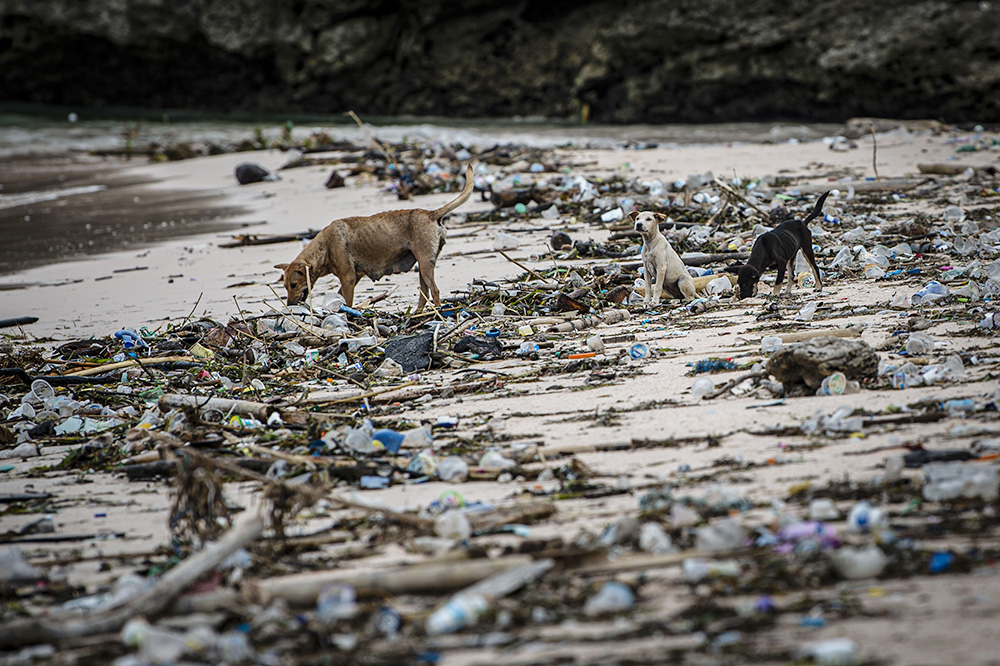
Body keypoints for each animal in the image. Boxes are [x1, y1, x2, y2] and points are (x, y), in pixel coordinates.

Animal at [276, 166, 474, 312]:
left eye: (294, 284)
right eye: (285, 286)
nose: (290, 306)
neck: (324, 247)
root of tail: (431, 214)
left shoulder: (348, 278)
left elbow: (347, 302)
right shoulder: (352, 278)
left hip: (425, 263)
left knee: (434, 291)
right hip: (423, 265)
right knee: (424, 293)